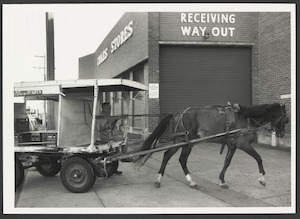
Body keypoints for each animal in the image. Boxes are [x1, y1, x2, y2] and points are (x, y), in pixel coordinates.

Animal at [134, 103, 288, 189]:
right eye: (286, 119)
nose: (281, 134)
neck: (247, 118)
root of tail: (177, 113)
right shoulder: (243, 144)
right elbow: (258, 158)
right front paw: (262, 179)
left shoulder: (232, 145)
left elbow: (227, 162)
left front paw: (222, 180)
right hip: (185, 141)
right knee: (176, 158)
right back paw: (166, 179)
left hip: (182, 141)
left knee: (173, 157)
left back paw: (182, 181)